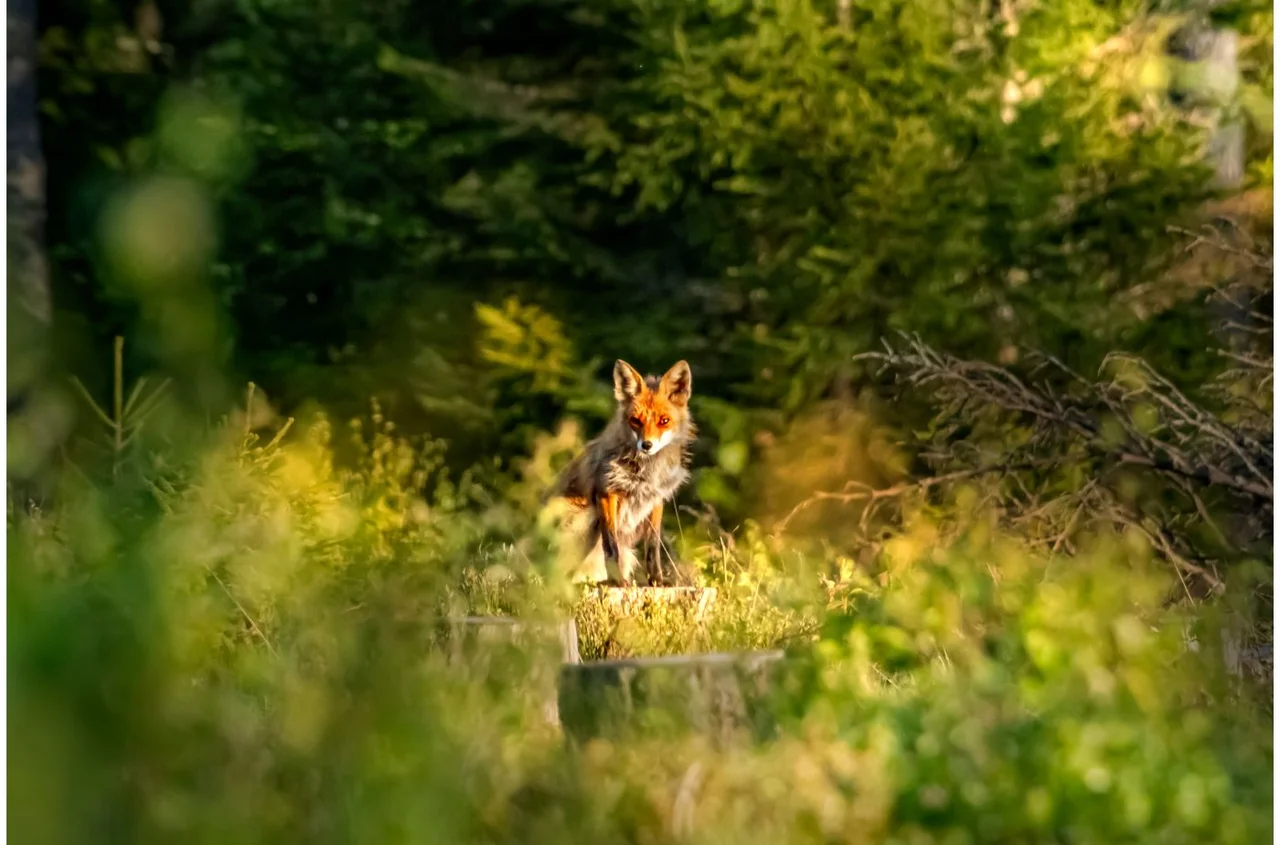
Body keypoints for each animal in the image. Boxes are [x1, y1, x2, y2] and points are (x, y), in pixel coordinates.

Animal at [547, 358, 696, 586]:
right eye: (636, 421)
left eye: (664, 421)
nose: (647, 445)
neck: (646, 473)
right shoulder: (606, 493)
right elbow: (611, 546)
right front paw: (619, 582)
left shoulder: (655, 499)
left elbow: (653, 547)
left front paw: (657, 581)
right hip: (586, 518)